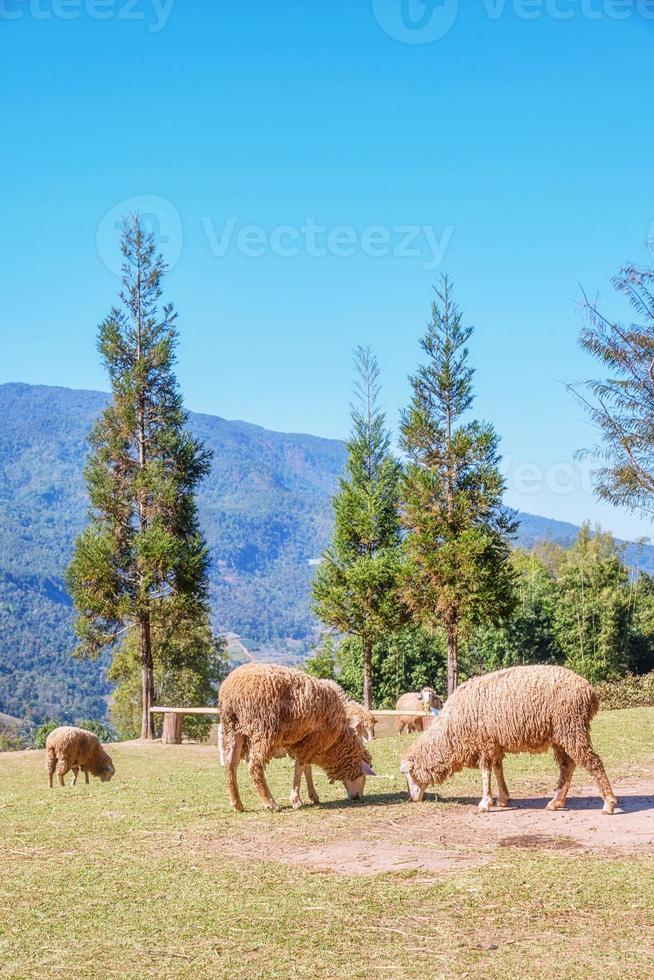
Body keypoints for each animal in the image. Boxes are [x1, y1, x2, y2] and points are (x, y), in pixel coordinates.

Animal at [218, 668, 376, 812]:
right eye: (363, 775)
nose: (358, 797)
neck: (336, 742)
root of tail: (231, 692)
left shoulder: (306, 743)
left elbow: (306, 768)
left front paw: (313, 796)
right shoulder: (309, 741)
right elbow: (300, 767)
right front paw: (296, 800)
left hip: (233, 729)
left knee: (230, 764)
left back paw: (237, 803)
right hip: (264, 731)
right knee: (254, 766)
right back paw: (271, 803)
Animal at [400, 668, 620, 812]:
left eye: (409, 775)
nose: (413, 799)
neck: (450, 732)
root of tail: (589, 691)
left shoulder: (484, 742)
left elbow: (486, 771)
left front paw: (485, 802)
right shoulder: (495, 744)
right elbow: (498, 770)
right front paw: (503, 798)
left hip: (571, 727)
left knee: (593, 762)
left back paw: (609, 803)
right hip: (562, 735)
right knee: (568, 766)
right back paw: (556, 802)